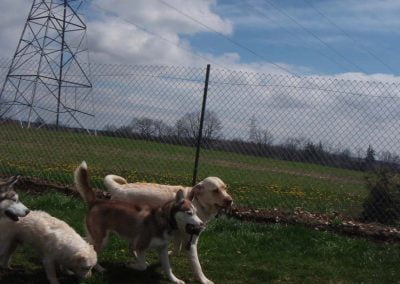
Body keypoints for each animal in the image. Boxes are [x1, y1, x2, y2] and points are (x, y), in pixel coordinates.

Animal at [75, 162, 205, 284]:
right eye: (189, 213)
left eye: (196, 212)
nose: (202, 224)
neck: (165, 221)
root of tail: (97, 201)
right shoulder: (140, 246)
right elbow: (143, 266)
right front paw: (131, 265)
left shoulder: (162, 249)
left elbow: (168, 268)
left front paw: (175, 280)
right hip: (103, 239)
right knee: (93, 249)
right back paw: (99, 268)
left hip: (101, 236)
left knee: (86, 241)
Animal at [104, 174, 233, 282]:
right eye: (215, 190)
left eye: (225, 188)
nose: (230, 201)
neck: (198, 202)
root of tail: (119, 188)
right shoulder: (191, 242)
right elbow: (197, 265)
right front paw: (204, 280)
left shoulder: (177, 234)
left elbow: (176, 249)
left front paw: (170, 255)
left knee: (132, 247)